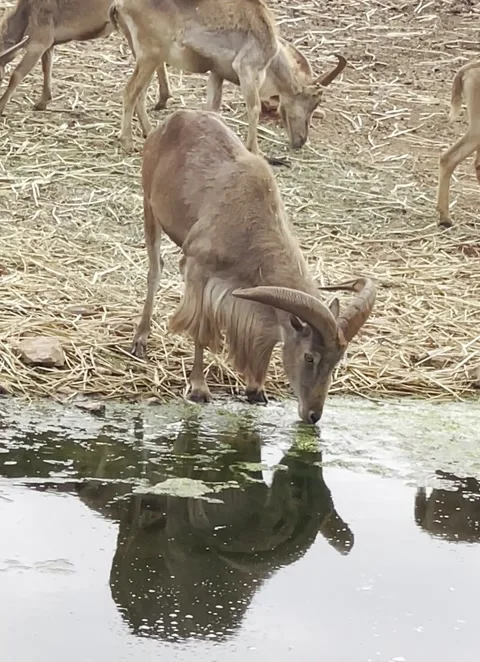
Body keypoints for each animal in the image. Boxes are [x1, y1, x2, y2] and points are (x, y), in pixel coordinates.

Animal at [0, 0, 168, 116]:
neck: (26, 14)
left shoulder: (39, 41)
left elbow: (17, 74)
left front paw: (1, 106)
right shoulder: (49, 43)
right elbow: (47, 66)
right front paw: (42, 102)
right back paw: (162, 100)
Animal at [109, 0, 346, 154]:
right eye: (313, 102)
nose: (301, 141)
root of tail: (120, 5)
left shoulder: (217, 74)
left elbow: (212, 107)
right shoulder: (247, 70)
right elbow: (254, 108)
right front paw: (254, 149)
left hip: (145, 56)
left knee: (140, 93)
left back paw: (149, 132)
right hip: (151, 55)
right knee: (130, 91)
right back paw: (127, 142)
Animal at [131, 108, 375, 425]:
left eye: (337, 362)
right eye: (310, 356)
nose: (313, 415)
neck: (248, 222)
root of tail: (172, 121)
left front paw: (256, 390)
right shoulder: (197, 268)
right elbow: (201, 330)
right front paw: (199, 389)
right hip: (150, 206)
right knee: (155, 270)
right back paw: (140, 339)